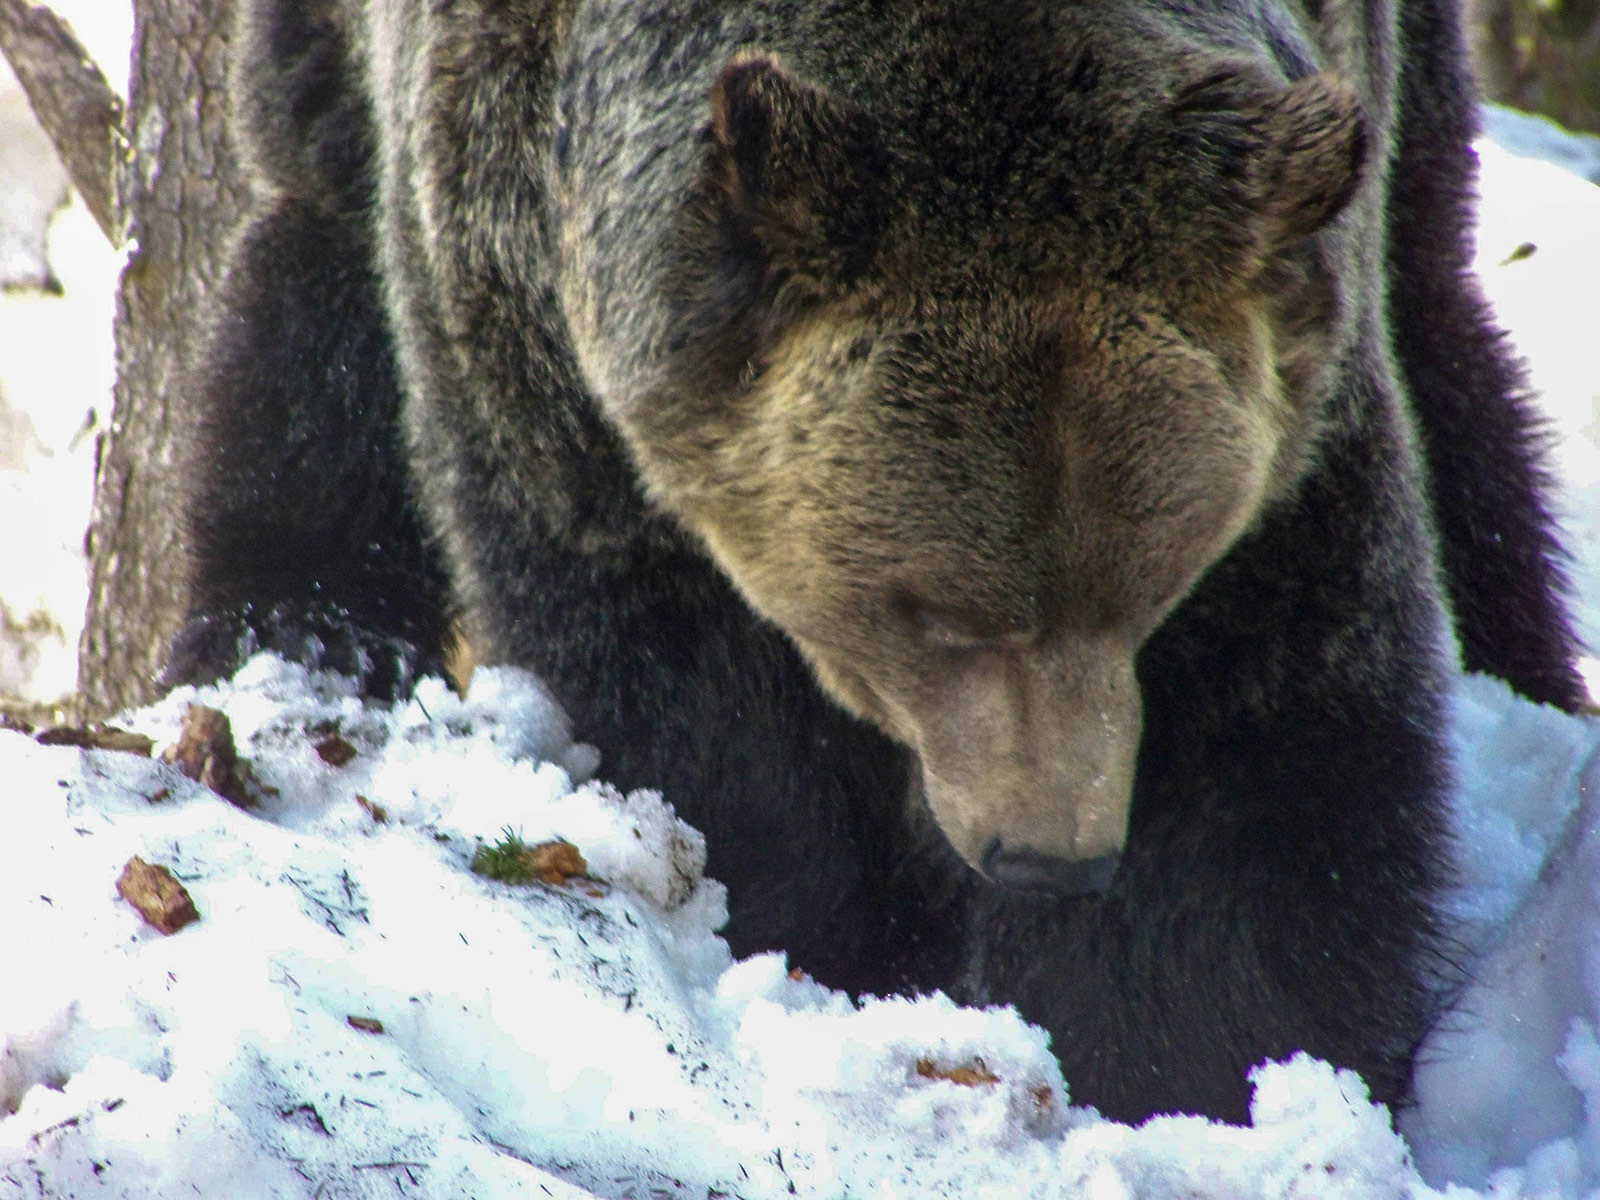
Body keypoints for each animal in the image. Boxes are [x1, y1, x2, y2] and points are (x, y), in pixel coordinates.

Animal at [164, 0, 1586, 1125]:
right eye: (938, 612)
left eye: (1149, 589)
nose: (1051, 852)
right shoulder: (536, 302)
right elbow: (696, 714)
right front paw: (831, 951)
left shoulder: (1281, 426)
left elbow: (1270, 759)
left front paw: (1192, 1068)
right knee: (313, 266)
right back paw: (295, 631)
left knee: (1443, 317)